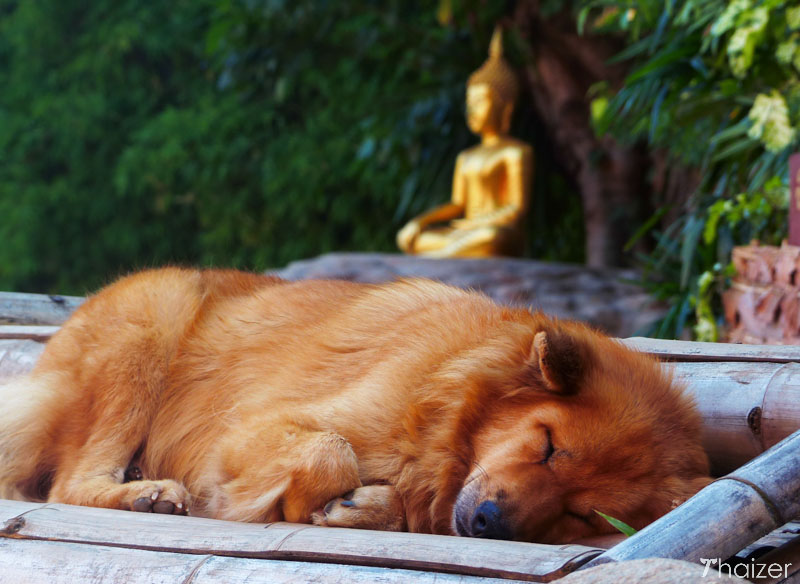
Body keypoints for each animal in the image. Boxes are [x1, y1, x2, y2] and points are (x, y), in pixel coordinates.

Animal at [0, 270, 712, 544]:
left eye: (581, 515)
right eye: (547, 444)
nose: (489, 523)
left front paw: (363, 508)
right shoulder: (250, 429)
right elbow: (331, 451)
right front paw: (296, 503)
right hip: (153, 320)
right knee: (67, 484)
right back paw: (144, 495)